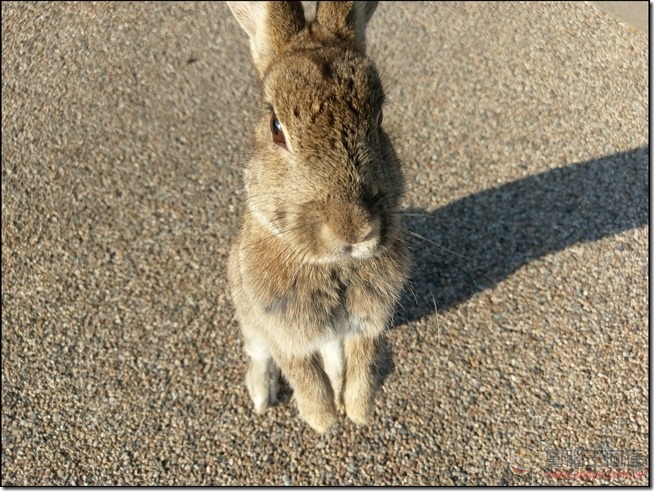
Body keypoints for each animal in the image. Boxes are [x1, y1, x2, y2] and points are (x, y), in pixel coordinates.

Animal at [227, 1, 410, 434]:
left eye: (379, 119)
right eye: (277, 128)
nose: (354, 228)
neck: (333, 265)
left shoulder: (367, 326)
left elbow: (362, 363)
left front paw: (357, 411)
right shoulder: (284, 331)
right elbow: (302, 373)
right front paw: (323, 420)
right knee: (258, 352)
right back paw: (261, 395)